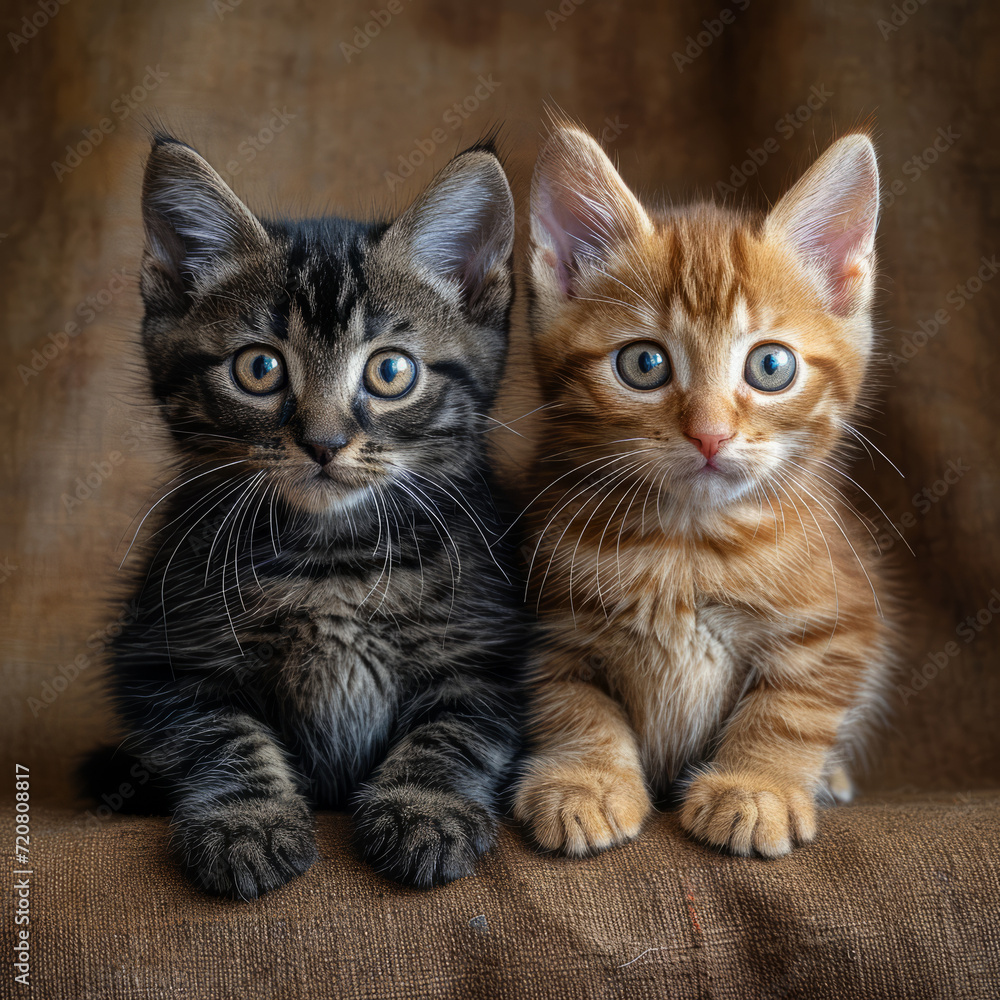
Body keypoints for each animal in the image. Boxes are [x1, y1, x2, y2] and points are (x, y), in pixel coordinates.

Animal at [88, 135, 524, 900]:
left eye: (390, 372)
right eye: (259, 369)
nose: (323, 442)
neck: (332, 563)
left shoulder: (487, 651)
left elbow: (454, 731)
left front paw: (425, 811)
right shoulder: (161, 655)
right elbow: (218, 733)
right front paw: (248, 822)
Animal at [512, 123, 896, 860]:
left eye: (771, 366)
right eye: (644, 363)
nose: (710, 434)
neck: (685, 543)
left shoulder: (838, 621)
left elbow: (790, 710)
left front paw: (756, 787)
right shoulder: (547, 624)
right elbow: (571, 704)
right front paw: (585, 782)